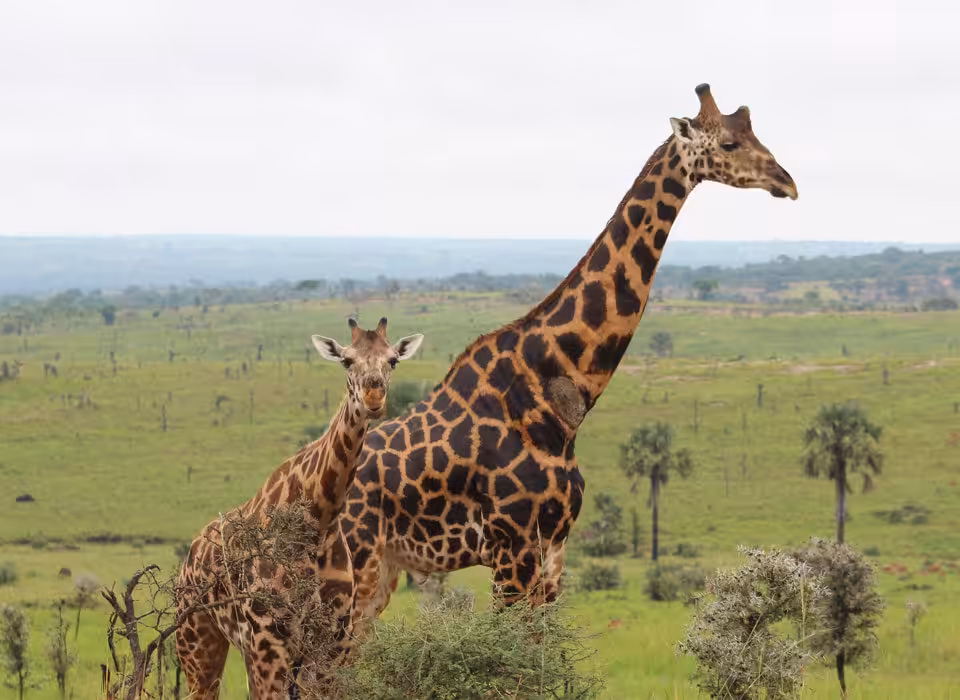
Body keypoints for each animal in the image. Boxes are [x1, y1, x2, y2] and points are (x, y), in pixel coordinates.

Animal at [175, 317, 423, 699]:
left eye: (393, 360)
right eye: (346, 361)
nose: (373, 397)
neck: (318, 521)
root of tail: (190, 556)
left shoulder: (331, 640)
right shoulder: (266, 640)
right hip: (196, 639)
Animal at [334, 84, 798, 639]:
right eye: (729, 143)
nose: (788, 182)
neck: (560, 394)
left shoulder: (553, 548)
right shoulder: (511, 548)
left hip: (382, 570)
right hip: (351, 563)